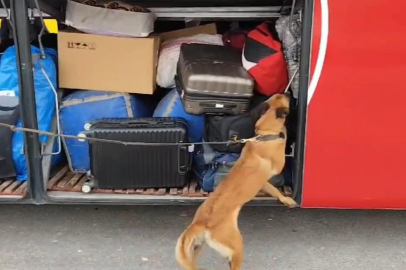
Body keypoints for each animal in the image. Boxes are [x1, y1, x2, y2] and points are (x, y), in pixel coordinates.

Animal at [176, 93, 296, 270]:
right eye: (284, 97)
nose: (289, 93)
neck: (264, 134)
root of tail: (200, 222)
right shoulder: (276, 166)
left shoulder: (264, 182)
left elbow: (275, 190)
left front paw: (285, 199)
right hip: (236, 245)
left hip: (196, 247)